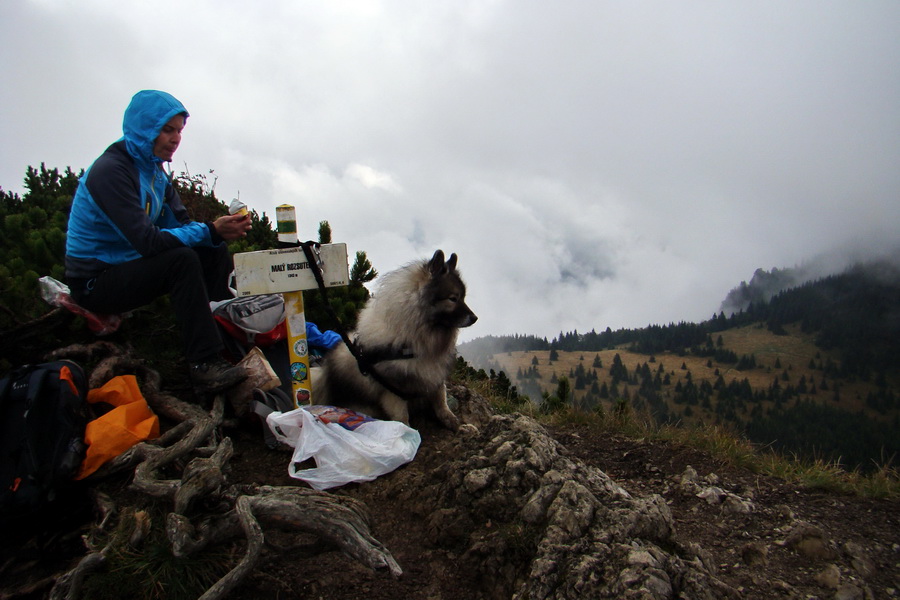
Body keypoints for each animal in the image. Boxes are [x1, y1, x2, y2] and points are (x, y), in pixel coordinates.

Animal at [312, 251, 478, 428]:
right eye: (453, 298)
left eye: (463, 298)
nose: (475, 318)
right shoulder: (392, 390)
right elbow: (402, 417)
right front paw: (408, 431)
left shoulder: (435, 375)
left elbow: (440, 399)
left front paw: (450, 419)